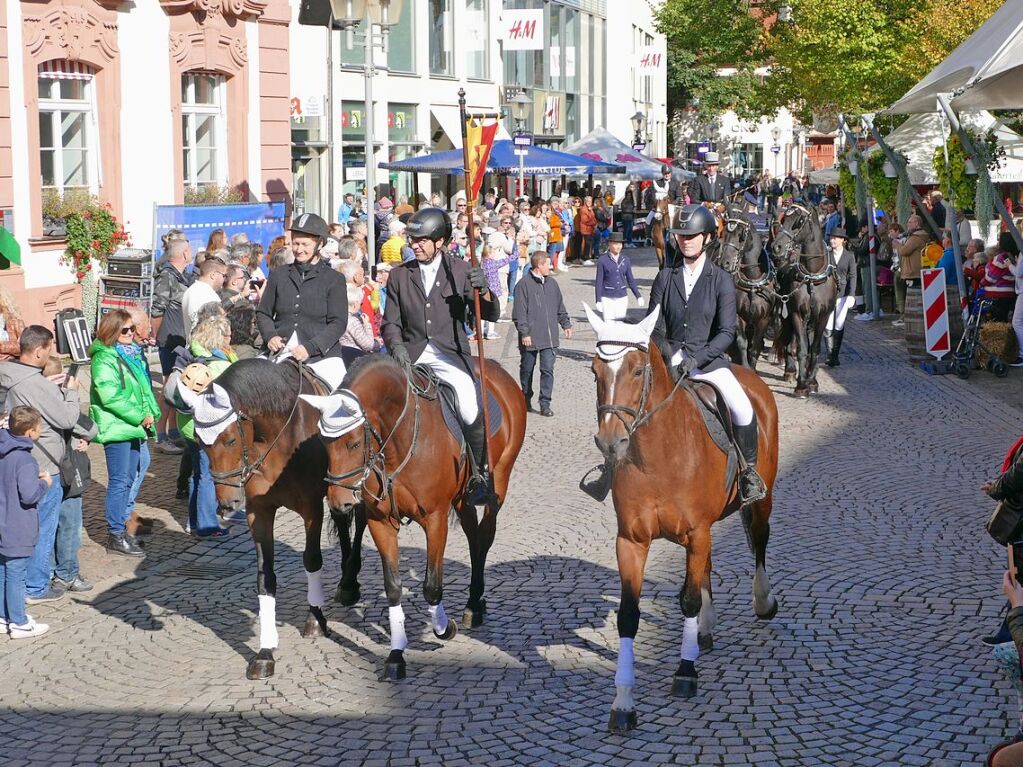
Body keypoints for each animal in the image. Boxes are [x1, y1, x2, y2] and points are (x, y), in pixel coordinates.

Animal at [195, 357, 368, 683]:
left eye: (231, 439)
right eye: (200, 444)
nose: (226, 503)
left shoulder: (311, 508)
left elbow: (312, 560)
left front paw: (315, 619)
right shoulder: (258, 511)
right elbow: (265, 577)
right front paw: (265, 652)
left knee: (360, 521)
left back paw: (351, 582)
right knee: (342, 520)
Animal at [298, 357, 527, 683]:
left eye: (353, 443)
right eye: (322, 442)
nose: (340, 502)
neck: (400, 438)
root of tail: (497, 370)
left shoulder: (435, 520)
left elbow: (431, 585)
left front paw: (443, 629)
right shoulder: (380, 522)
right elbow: (393, 587)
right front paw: (396, 656)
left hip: (499, 483)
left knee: (483, 538)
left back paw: (474, 605)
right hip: (462, 499)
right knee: (473, 537)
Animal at [589, 306, 777, 740]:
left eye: (638, 370)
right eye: (594, 371)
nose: (610, 443)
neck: (657, 455)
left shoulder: (697, 531)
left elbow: (688, 599)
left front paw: (686, 673)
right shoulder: (631, 541)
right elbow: (628, 615)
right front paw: (623, 703)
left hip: (761, 501)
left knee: (759, 542)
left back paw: (762, 602)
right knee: (706, 567)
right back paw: (705, 630)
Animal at [720, 204, 773, 372]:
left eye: (741, 236)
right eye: (724, 233)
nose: (725, 263)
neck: (752, 281)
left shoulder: (764, 320)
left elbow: (755, 347)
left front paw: (753, 370)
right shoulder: (738, 315)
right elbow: (742, 343)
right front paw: (745, 368)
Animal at [769, 201, 834, 398]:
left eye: (798, 222)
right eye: (783, 220)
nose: (776, 247)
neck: (812, 276)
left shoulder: (823, 317)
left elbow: (814, 349)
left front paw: (812, 381)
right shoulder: (797, 314)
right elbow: (802, 349)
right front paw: (801, 385)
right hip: (787, 314)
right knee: (790, 341)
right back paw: (791, 370)